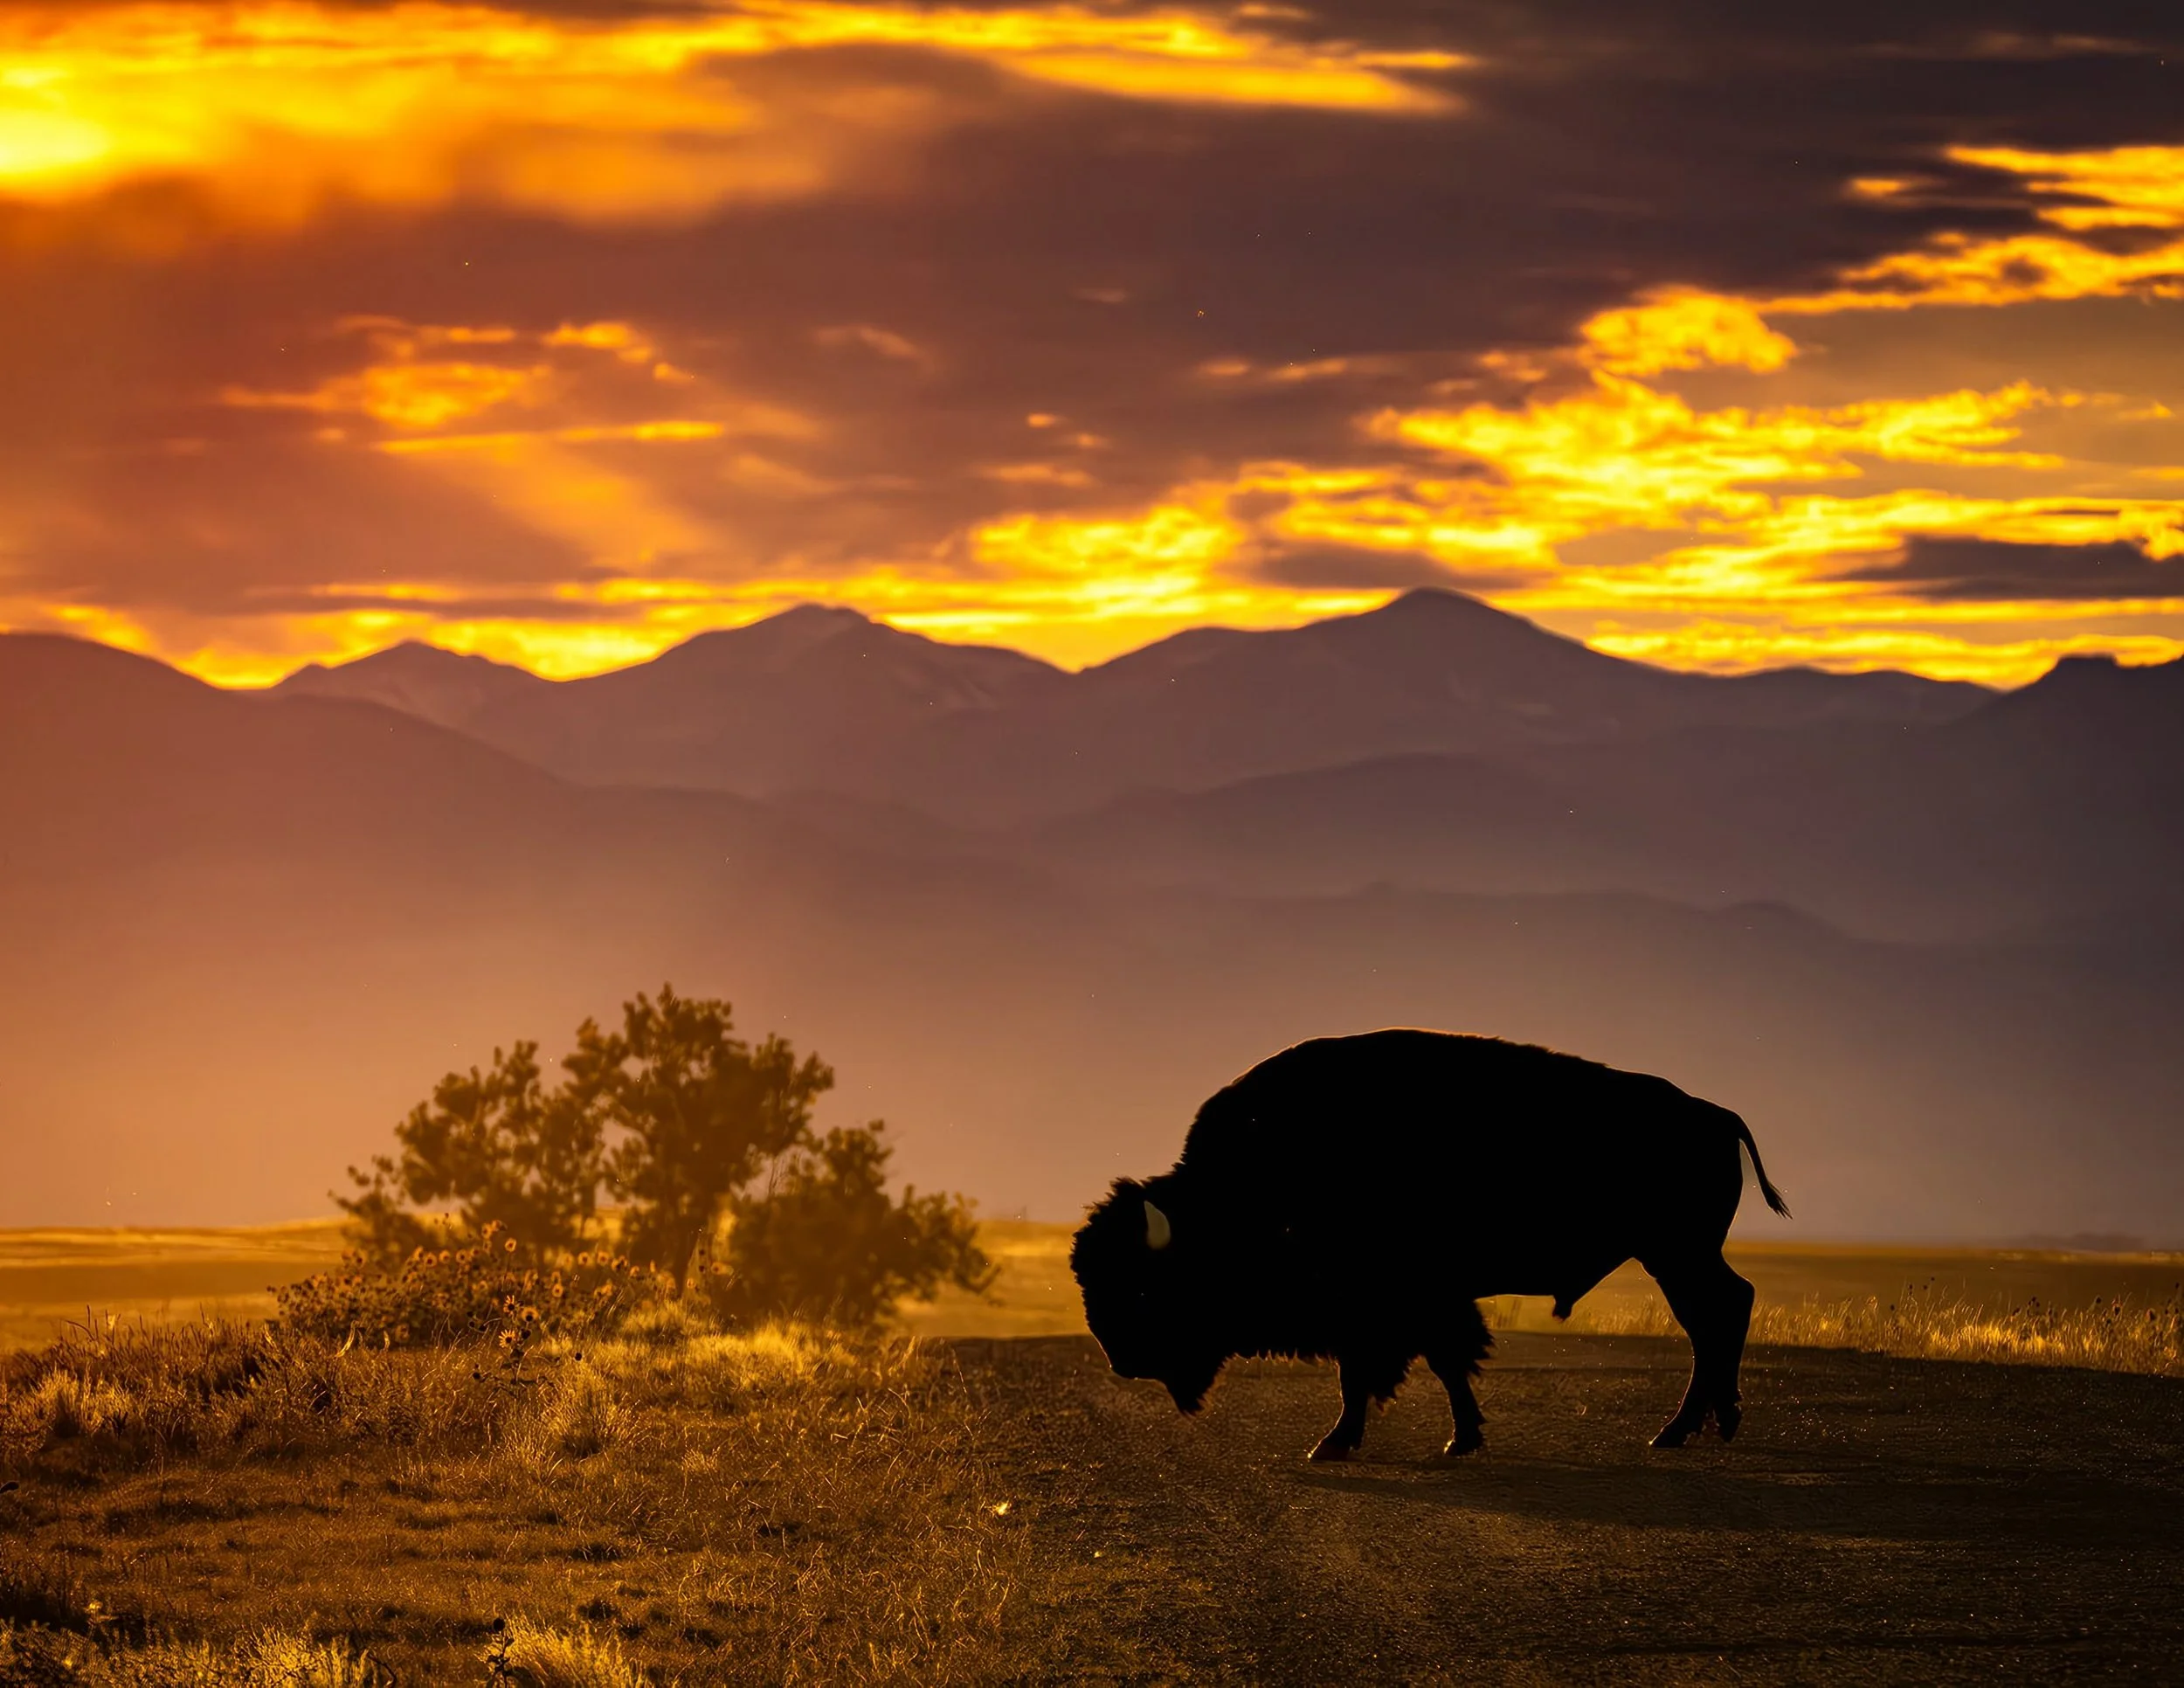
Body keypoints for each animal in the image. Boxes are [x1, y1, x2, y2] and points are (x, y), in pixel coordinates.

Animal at [1070, 1030, 1790, 1457]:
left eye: (1144, 1287)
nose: (1122, 1360)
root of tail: (1714, 1114)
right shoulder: (1411, 1303)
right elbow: (1433, 1363)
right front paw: (1455, 1438)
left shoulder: (1384, 1303)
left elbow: (1381, 1369)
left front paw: (1341, 1443)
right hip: (1678, 1256)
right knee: (1721, 1314)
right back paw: (1706, 1425)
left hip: (1676, 1254)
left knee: (1717, 1317)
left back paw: (1680, 1430)